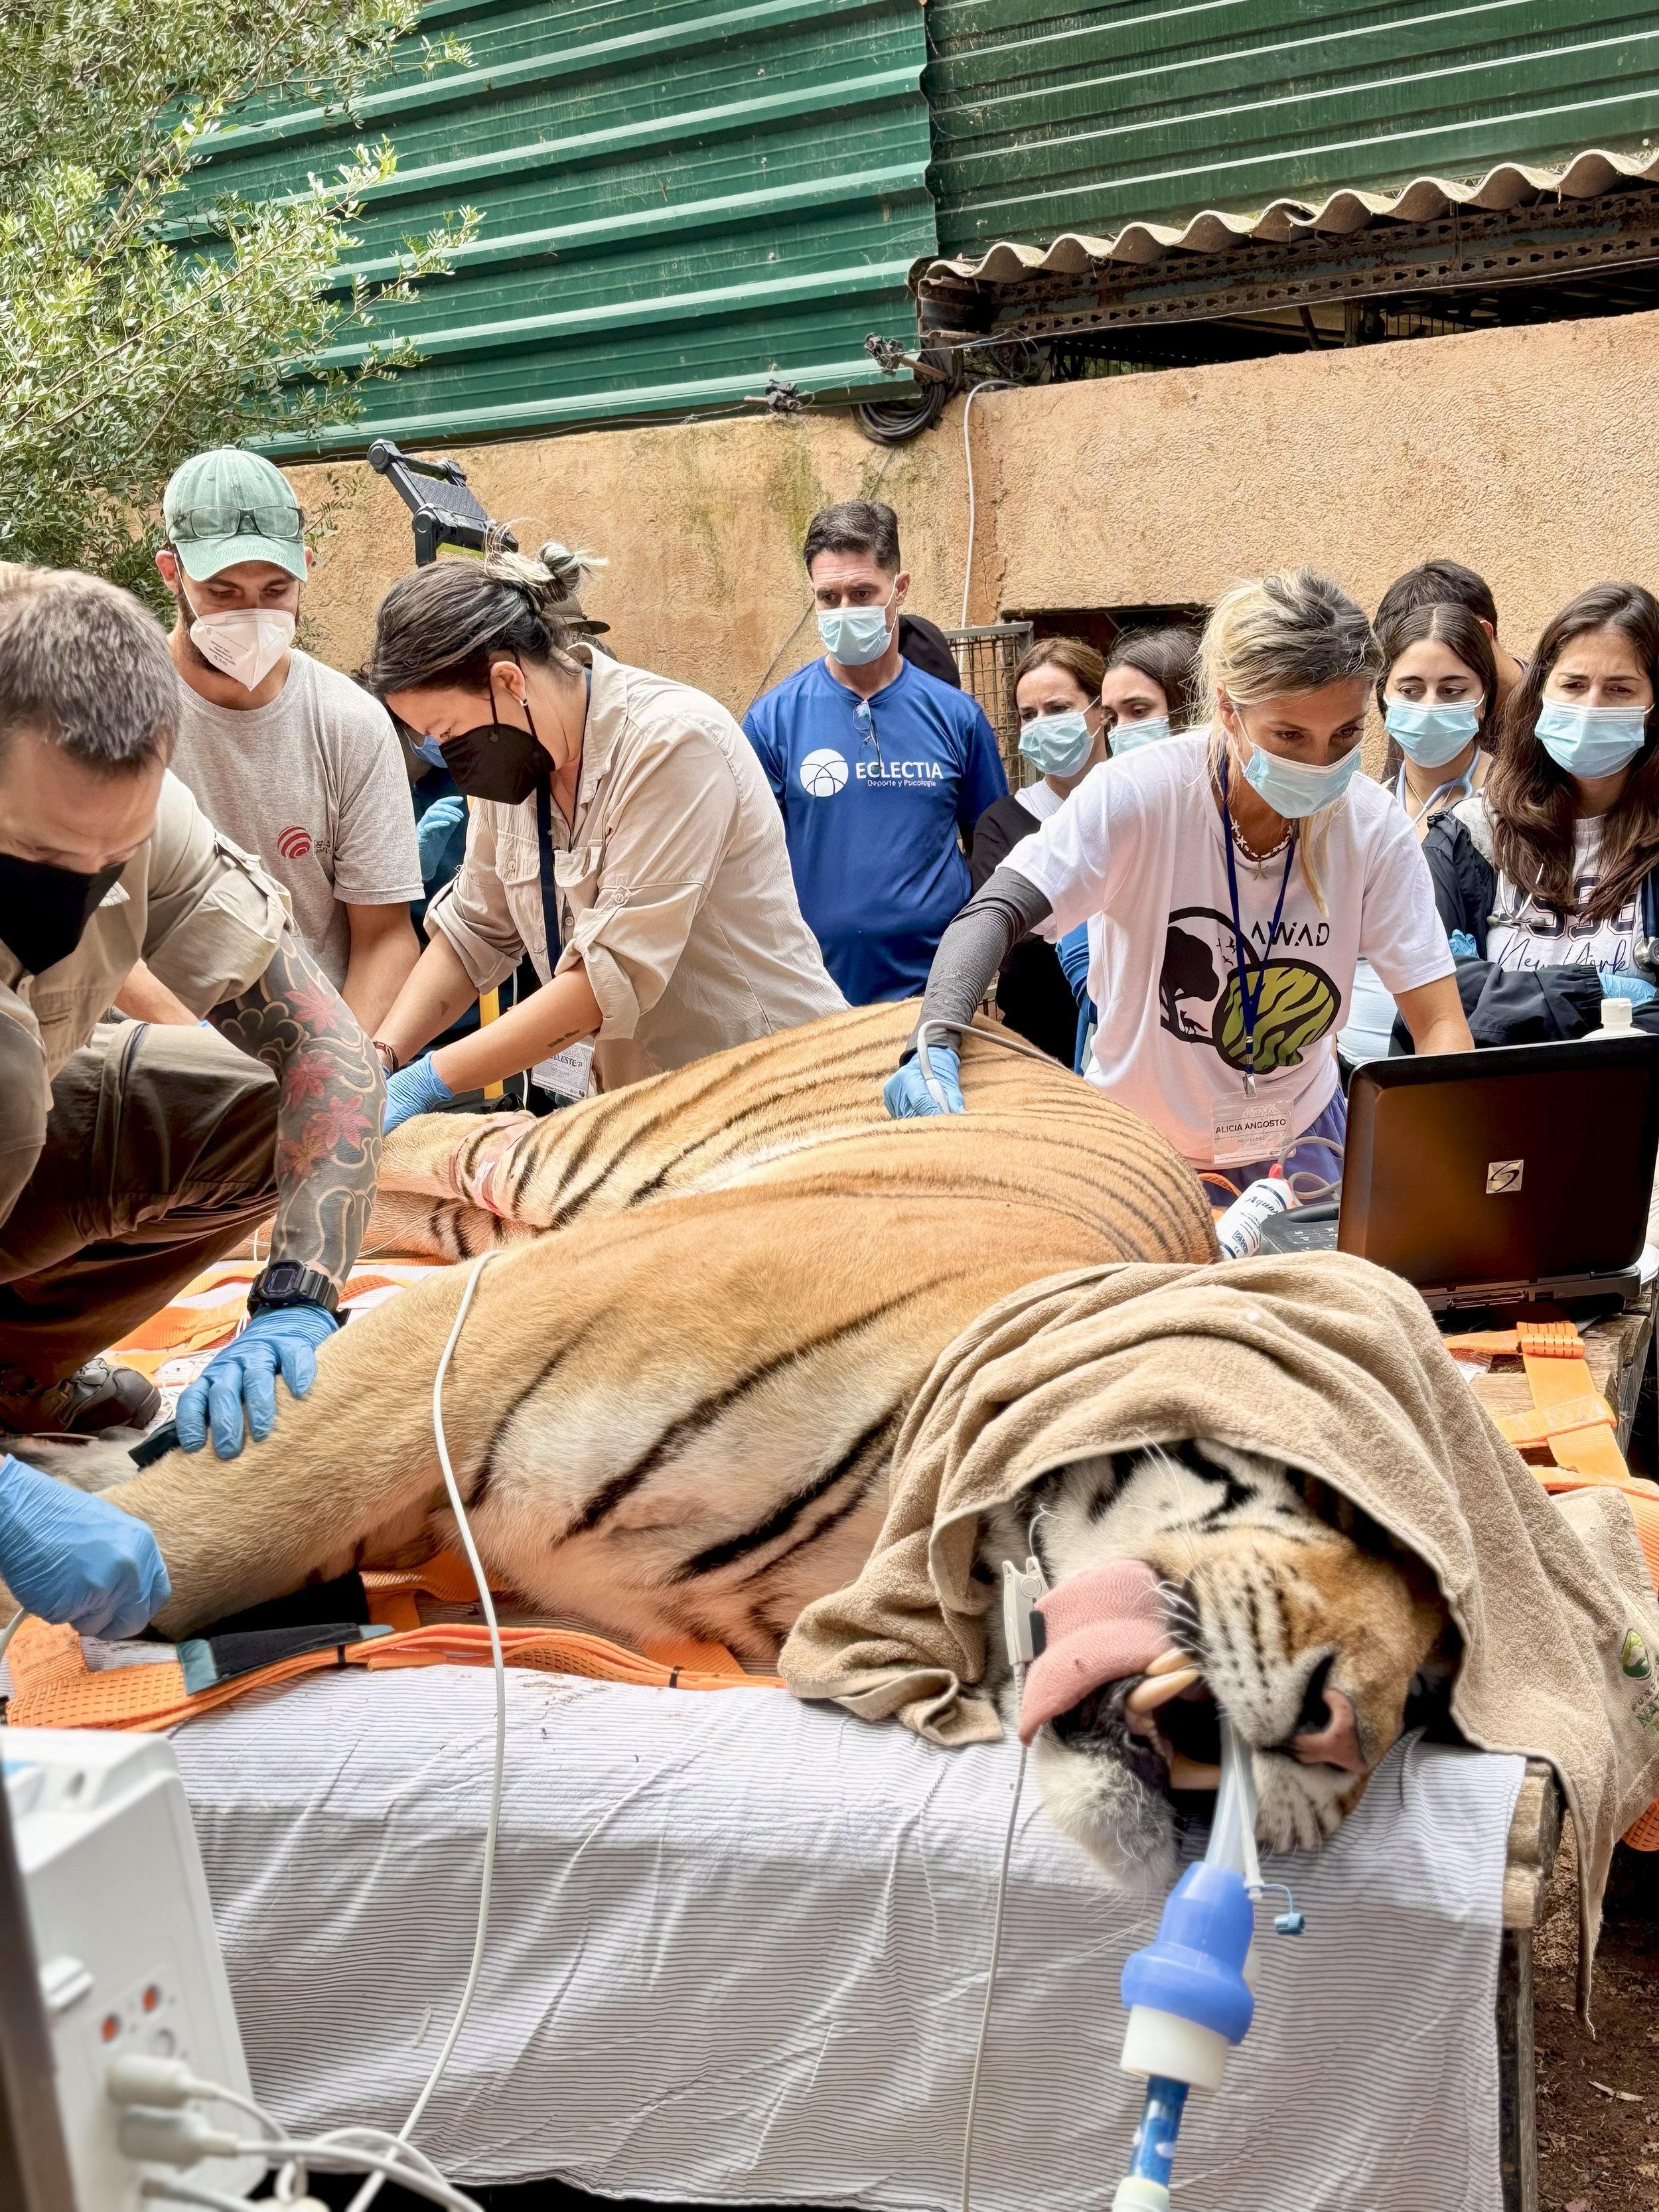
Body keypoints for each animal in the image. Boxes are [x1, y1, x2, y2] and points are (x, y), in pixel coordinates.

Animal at [16, 1002, 1449, 1884]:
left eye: (1432, 1691)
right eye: (1333, 1507)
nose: (1338, 1731)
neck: (880, 1574)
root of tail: (983, 1020)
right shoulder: (458, 1348)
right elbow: (203, 1518)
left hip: (508, 1214)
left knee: (402, 1189)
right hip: (565, 1161)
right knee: (416, 1115)